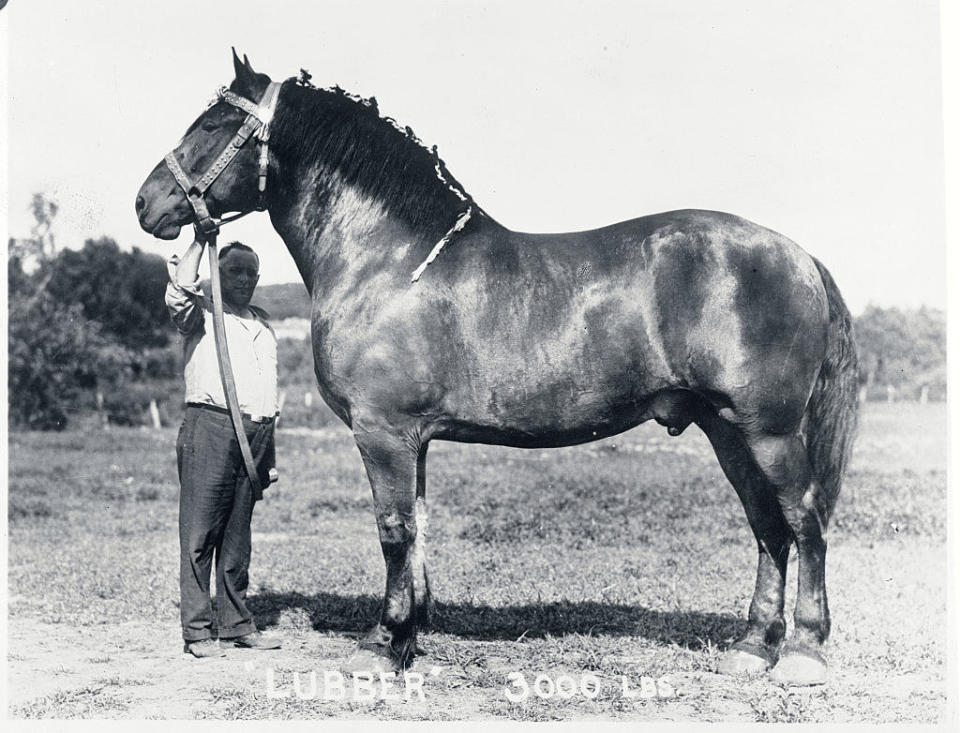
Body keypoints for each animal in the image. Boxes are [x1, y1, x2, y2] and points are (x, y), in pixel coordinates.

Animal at [137, 53, 864, 688]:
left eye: (212, 125)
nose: (147, 203)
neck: (389, 259)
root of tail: (799, 256)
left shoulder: (383, 432)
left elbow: (394, 529)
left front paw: (384, 644)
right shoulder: (413, 438)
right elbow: (418, 527)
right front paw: (408, 635)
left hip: (768, 431)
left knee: (803, 520)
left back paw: (803, 653)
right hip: (726, 429)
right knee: (767, 526)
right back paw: (752, 647)